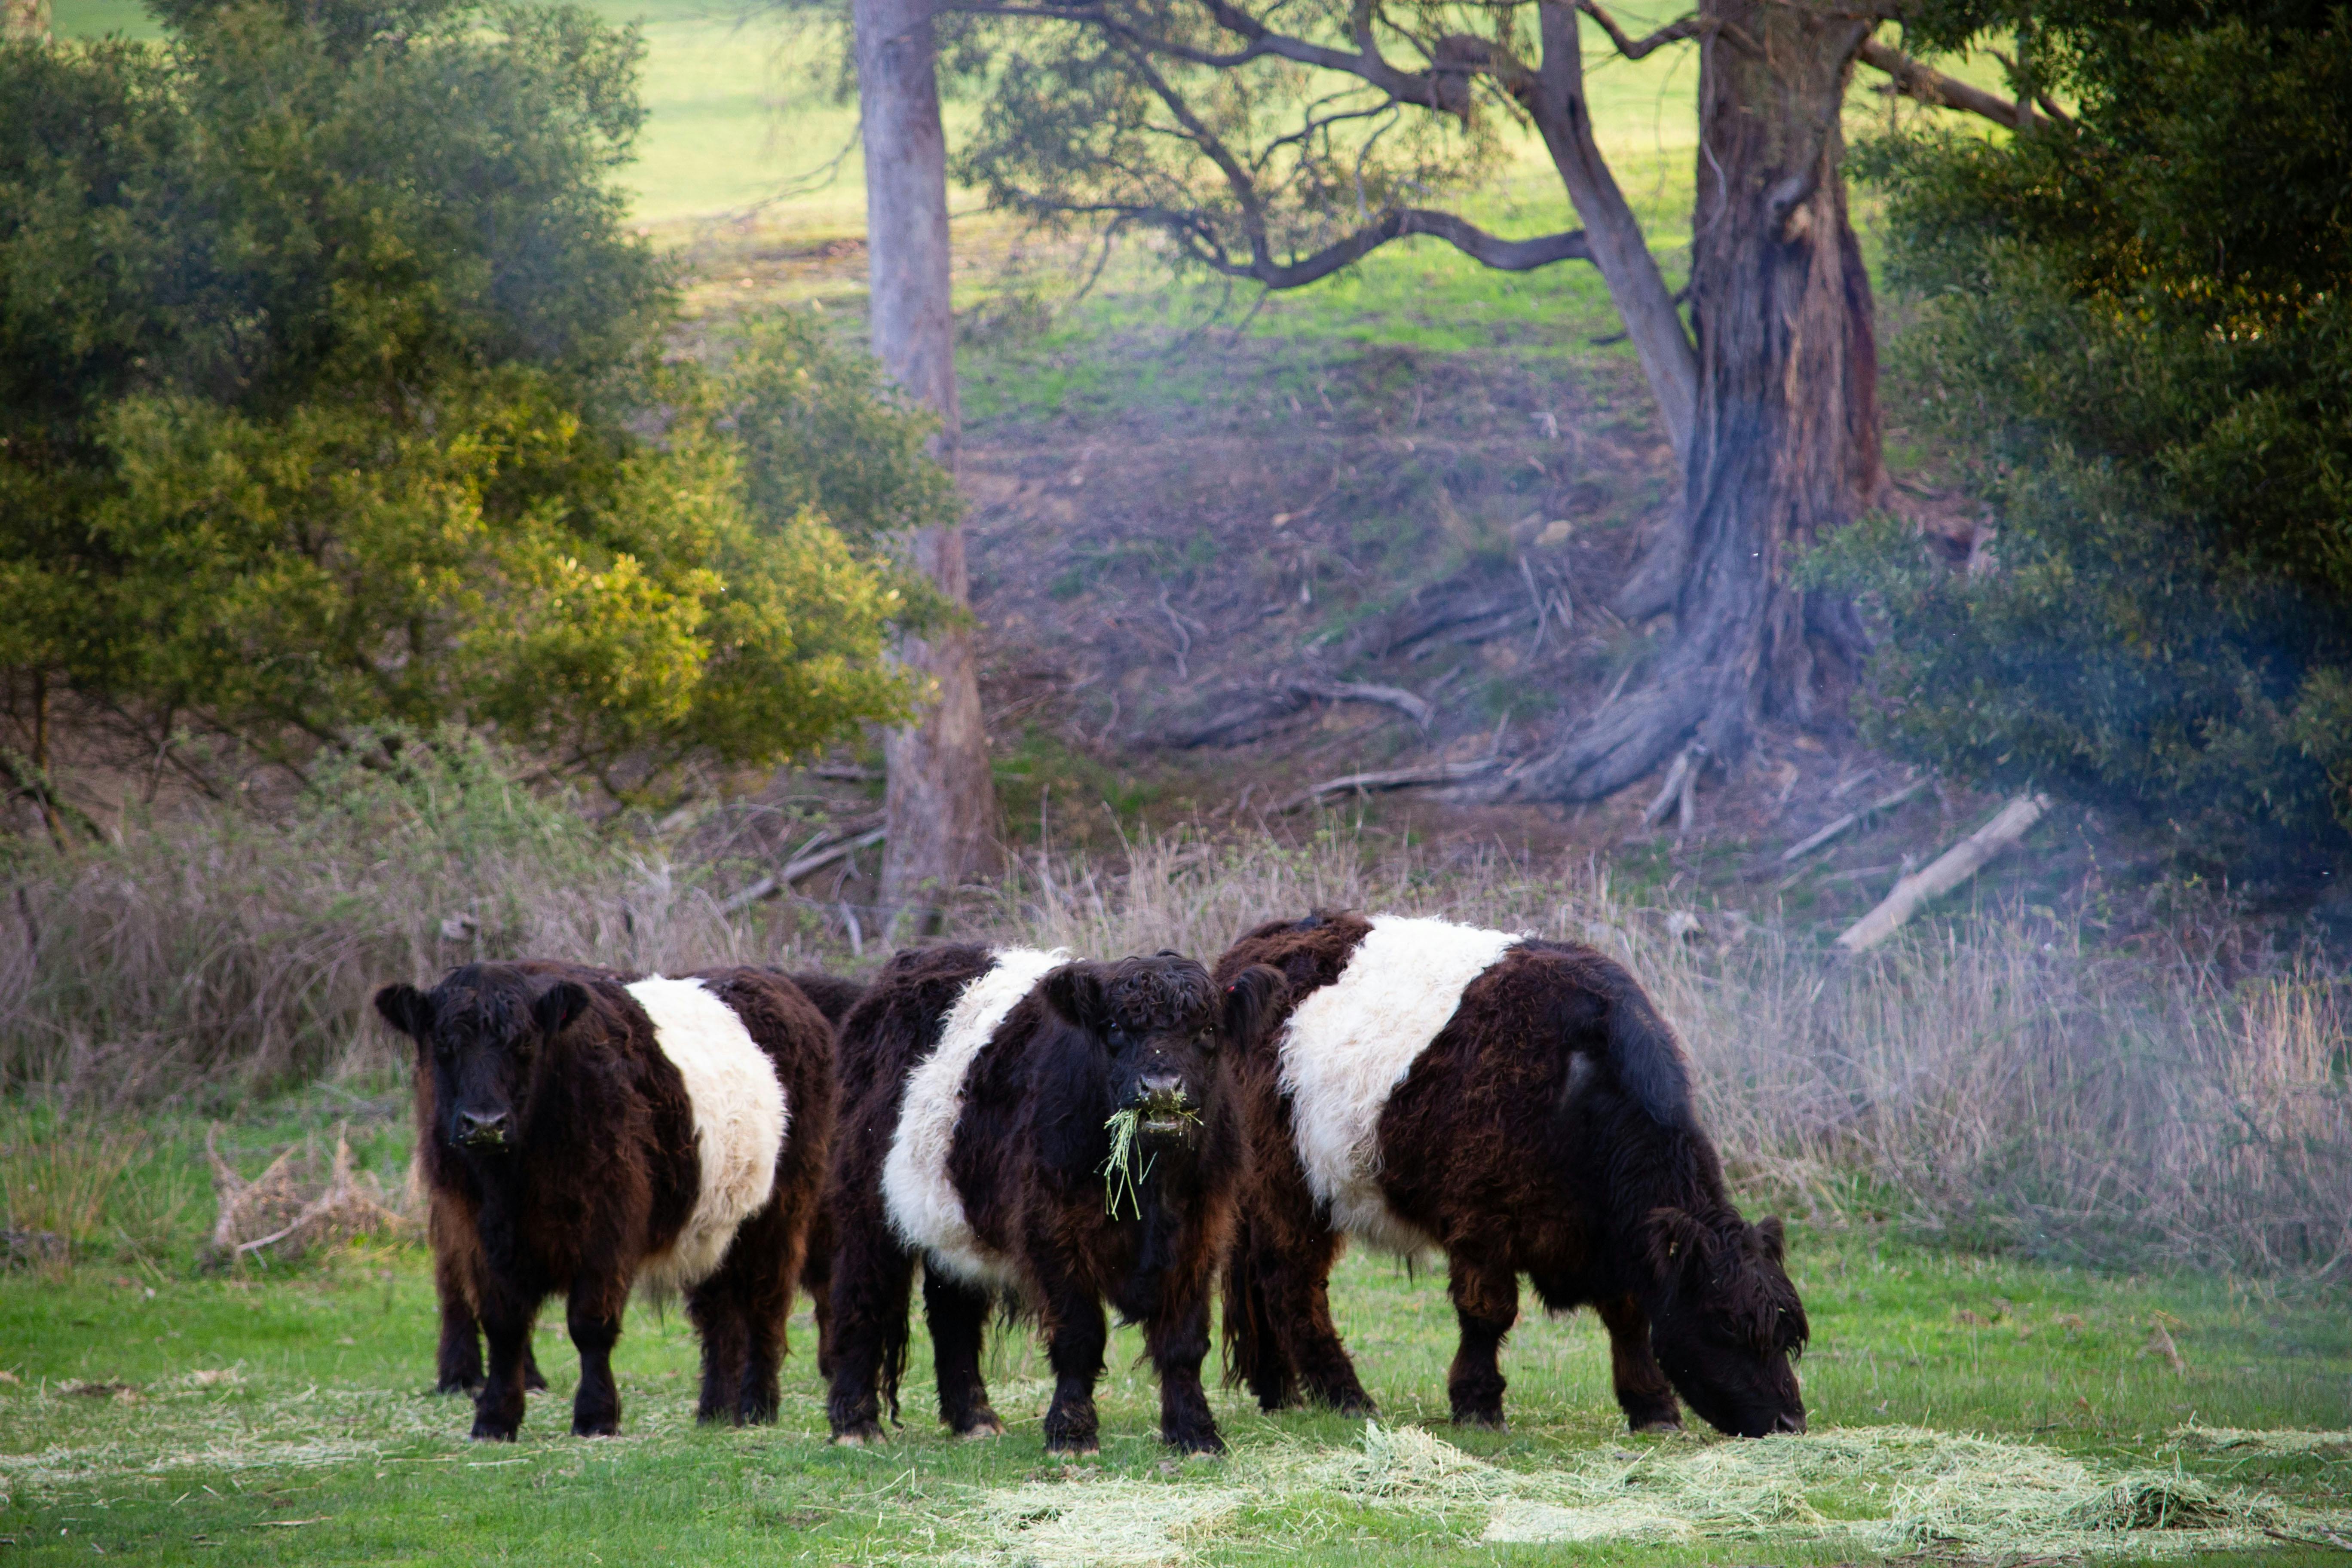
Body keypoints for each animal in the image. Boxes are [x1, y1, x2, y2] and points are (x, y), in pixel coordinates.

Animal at [375, 961, 835, 1440]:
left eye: (524, 1045)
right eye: (444, 1046)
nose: (485, 1124)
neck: (513, 1183)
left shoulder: (607, 1227)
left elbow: (590, 1323)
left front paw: (596, 1416)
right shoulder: (476, 1232)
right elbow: (504, 1325)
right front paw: (495, 1419)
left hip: (779, 1213)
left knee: (767, 1305)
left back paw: (758, 1407)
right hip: (714, 1224)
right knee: (720, 1314)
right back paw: (716, 1411)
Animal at [822, 945, 1274, 1455]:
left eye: (1207, 1031)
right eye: (1115, 1028)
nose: (1160, 1089)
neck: (1151, 1186)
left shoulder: (1201, 1232)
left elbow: (1184, 1341)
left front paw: (1195, 1432)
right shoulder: (1054, 1230)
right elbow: (1079, 1335)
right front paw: (1072, 1433)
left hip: (952, 1218)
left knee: (952, 1312)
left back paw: (975, 1418)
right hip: (864, 1204)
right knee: (861, 1298)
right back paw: (855, 1423)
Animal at [1214, 911, 1808, 1439]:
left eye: (1786, 1333)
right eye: (1725, 1323)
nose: (1791, 1422)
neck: (1575, 1084)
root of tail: (1256, 945)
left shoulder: (1612, 1240)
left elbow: (1628, 1316)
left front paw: (1652, 1407)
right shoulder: (1482, 1222)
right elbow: (1488, 1313)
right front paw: (1478, 1405)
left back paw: (1280, 1390)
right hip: (1290, 1185)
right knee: (1292, 1283)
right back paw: (1345, 1395)